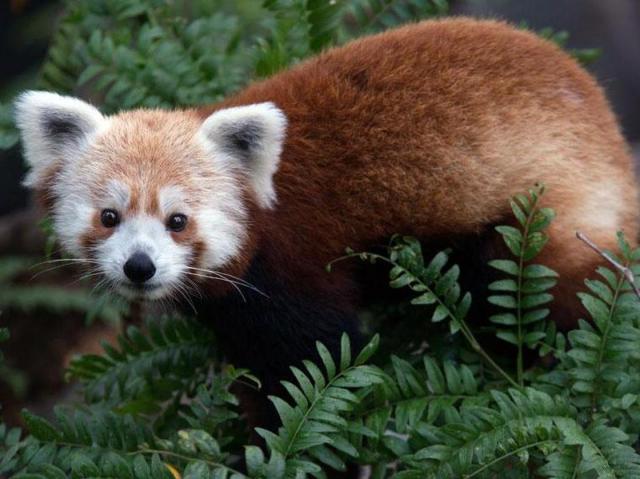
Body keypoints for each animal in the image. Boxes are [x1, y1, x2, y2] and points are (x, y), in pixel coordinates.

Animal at [15, 18, 640, 430]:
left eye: (177, 220)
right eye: (110, 217)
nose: (139, 267)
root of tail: (608, 129)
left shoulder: (294, 262)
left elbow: (317, 356)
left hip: (543, 211)